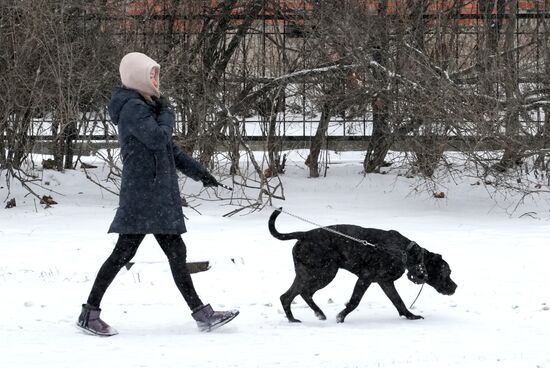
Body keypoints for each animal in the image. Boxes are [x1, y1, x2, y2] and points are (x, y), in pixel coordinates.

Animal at [270, 208, 458, 324]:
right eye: (447, 272)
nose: (455, 287)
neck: (405, 252)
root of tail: (303, 235)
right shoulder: (365, 278)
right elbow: (354, 301)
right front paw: (341, 317)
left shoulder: (386, 282)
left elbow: (399, 302)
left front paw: (410, 316)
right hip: (323, 273)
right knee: (296, 294)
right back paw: (301, 317)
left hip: (311, 273)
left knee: (295, 295)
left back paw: (307, 316)